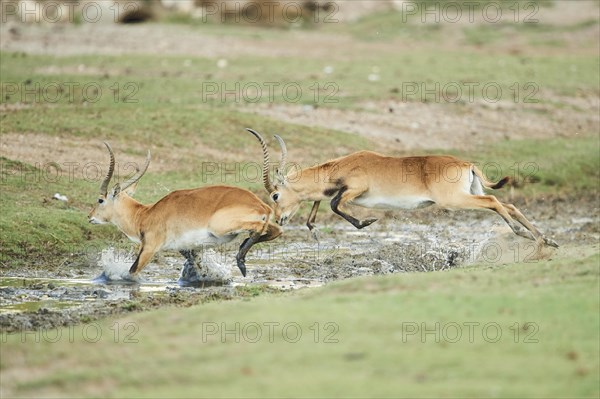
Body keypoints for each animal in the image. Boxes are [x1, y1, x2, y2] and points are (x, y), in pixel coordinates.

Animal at [88, 142, 282, 280]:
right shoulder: (186, 247)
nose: (90, 216)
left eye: (100, 200)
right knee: (276, 230)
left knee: (260, 228)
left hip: (219, 227)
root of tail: (260, 204)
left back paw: (241, 263)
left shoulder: (149, 248)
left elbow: (132, 271)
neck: (145, 214)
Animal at [244, 128, 556, 248]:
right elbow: (317, 208)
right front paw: (314, 230)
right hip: (472, 192)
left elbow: (334, 205)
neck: (340, 167)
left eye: (274, 194)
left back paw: (525, 235)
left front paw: (367, 222)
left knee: (494, 202)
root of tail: (466, 163)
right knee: (509, 204)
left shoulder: (355, 189)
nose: (279, 218)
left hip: (456, 200)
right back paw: (544, 239)